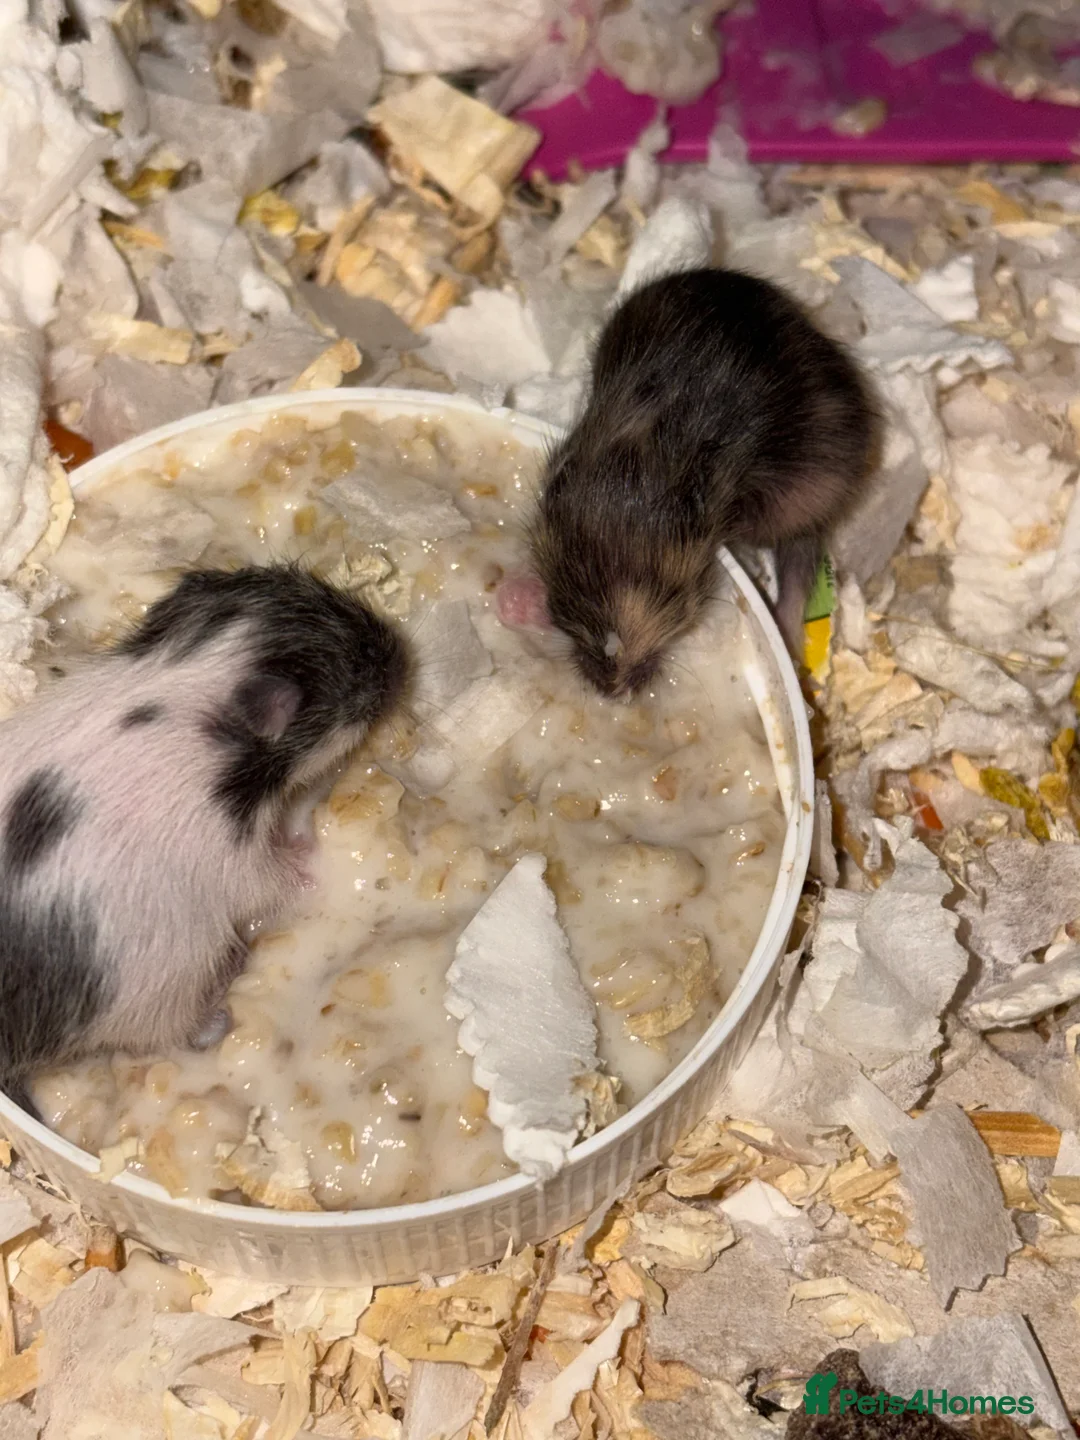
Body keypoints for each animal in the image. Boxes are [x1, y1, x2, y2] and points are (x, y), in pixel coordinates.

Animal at [0, 564, 408, 1115]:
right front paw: (315, 852)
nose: (395, 648)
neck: (179, 671)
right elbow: (282, 883)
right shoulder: (234, 851)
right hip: (163, 990)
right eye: (360, 670)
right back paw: (217, 1014)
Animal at [522, 267, 881, 697]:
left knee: (799, 563)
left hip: (808, 492)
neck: (644, 445)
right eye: (557, 605)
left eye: (684, 603)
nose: (614, 691)